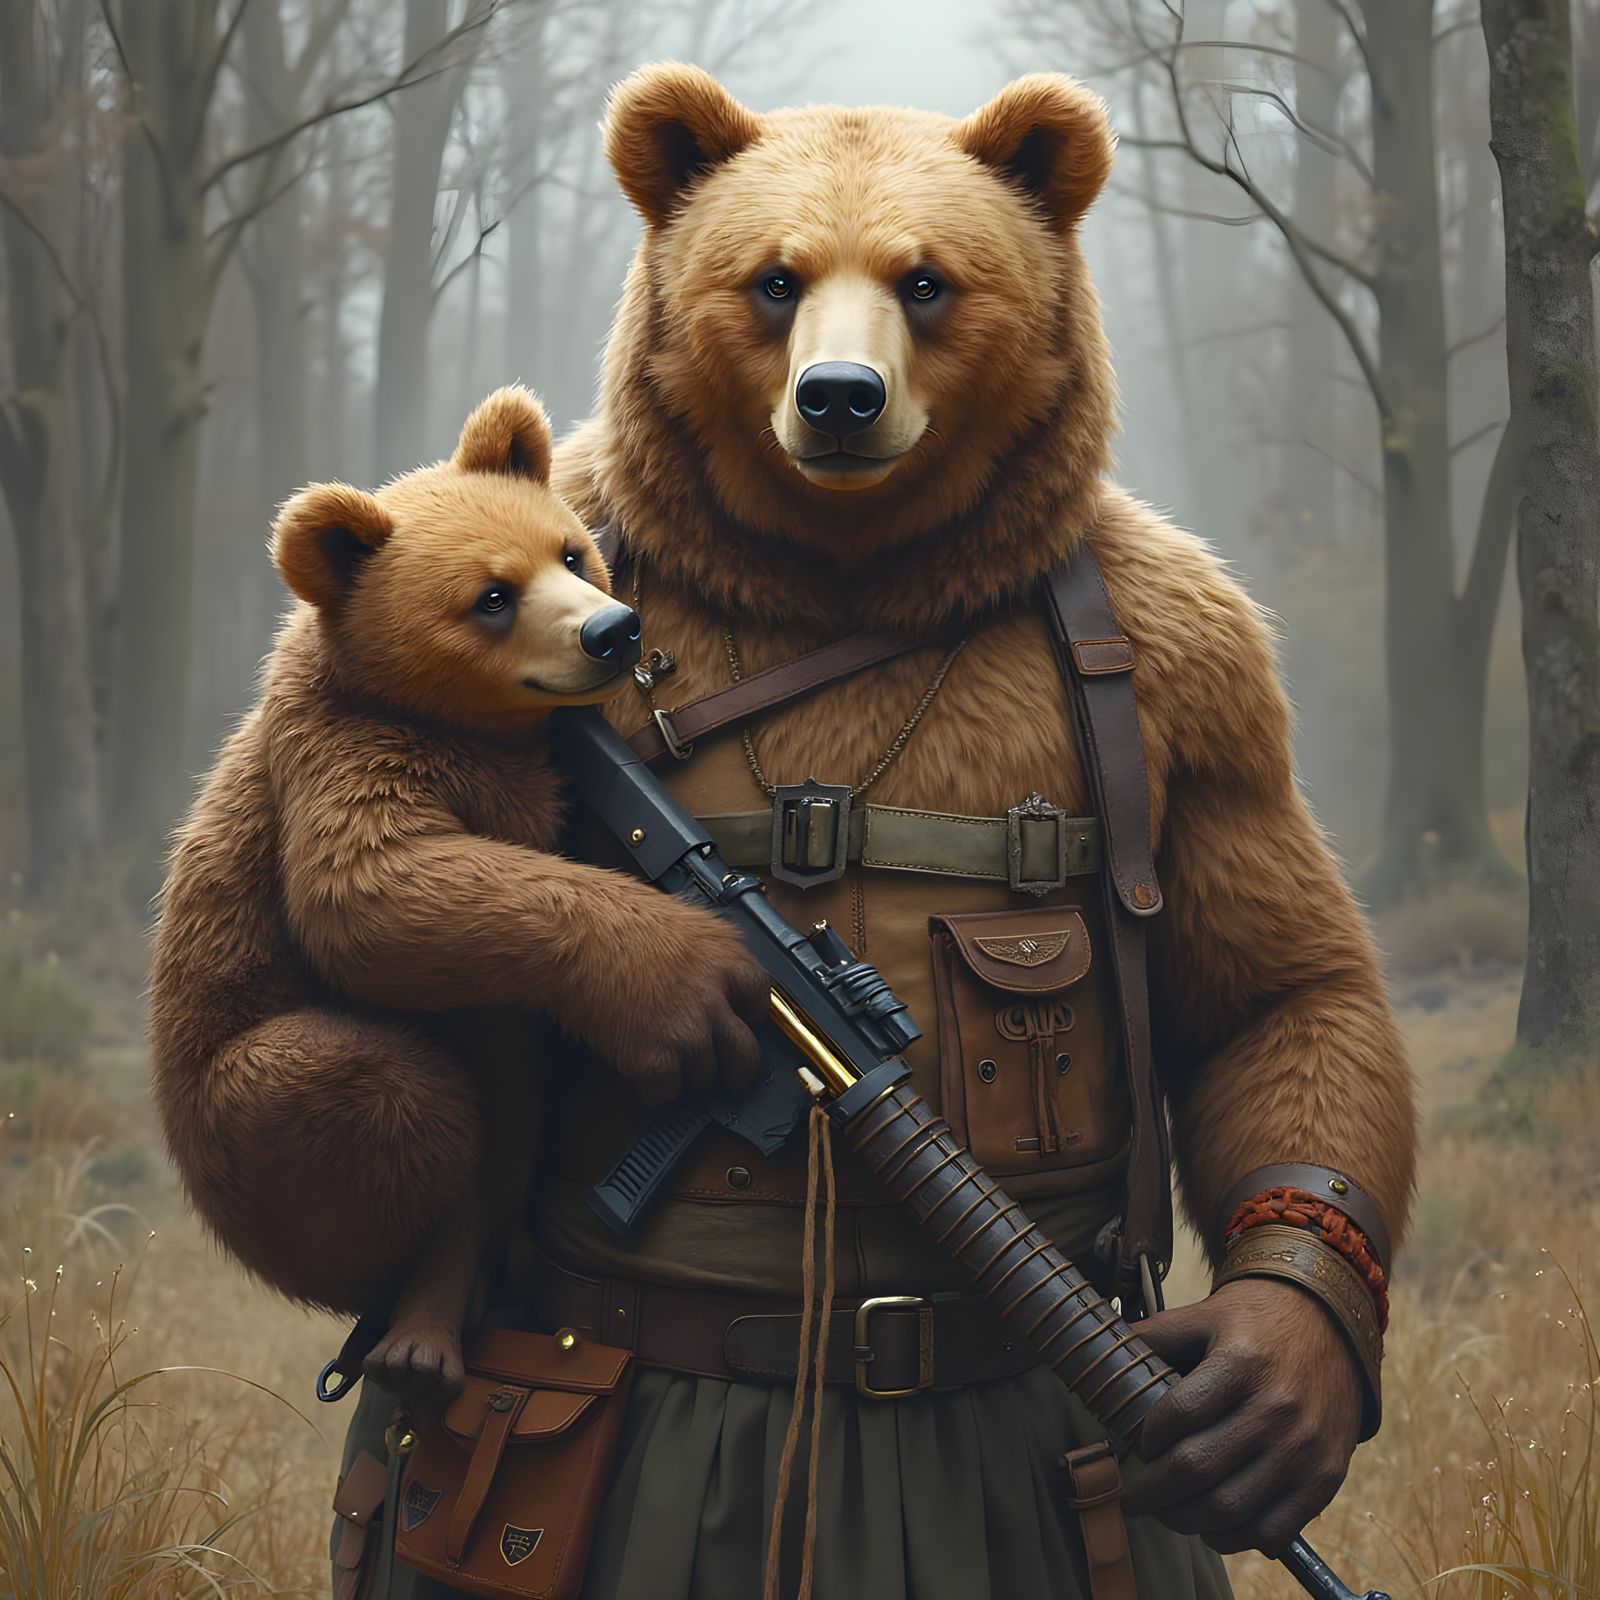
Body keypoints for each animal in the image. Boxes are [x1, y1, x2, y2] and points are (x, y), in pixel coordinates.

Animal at [149, 385, 767, 1410]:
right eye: (491, 596)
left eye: (571, 551)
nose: (615, 632)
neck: (461, 723)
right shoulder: (350, 746)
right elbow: (370, 887)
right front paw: (687, 965)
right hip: (238, 1117)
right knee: (393, 1097)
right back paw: (422, 1313)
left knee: (513, 1103)